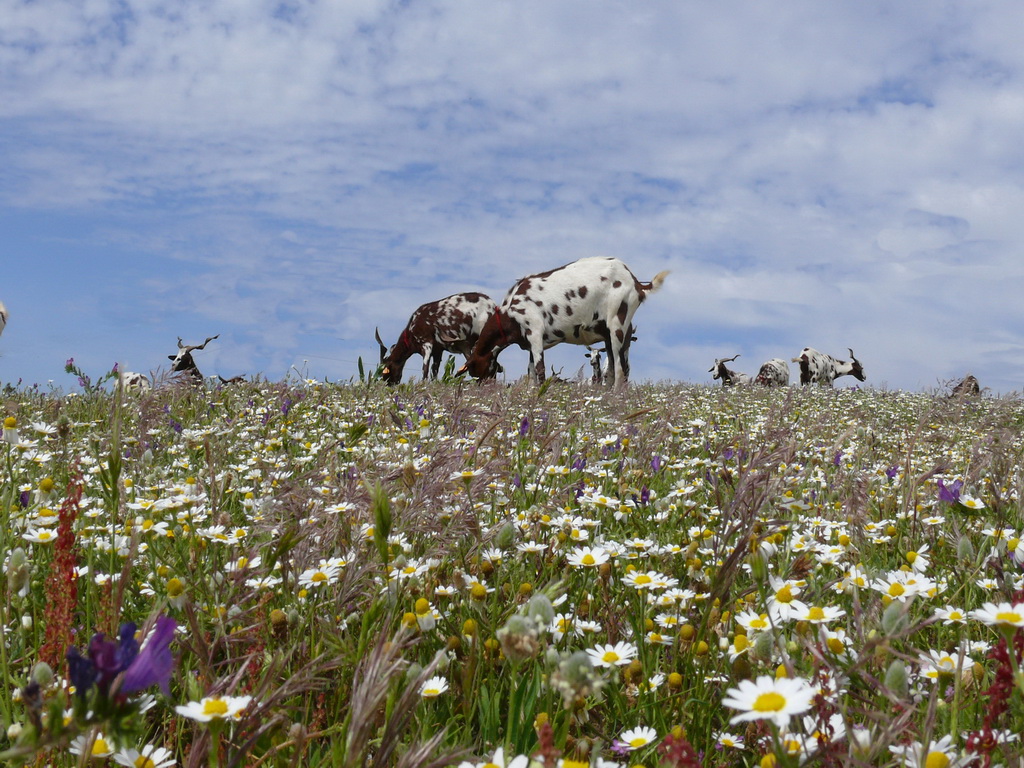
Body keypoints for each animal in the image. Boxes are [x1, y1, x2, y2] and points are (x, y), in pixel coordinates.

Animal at [460, 257, 667, 387]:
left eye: (476, 371)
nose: (484, 388)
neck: (510, 309)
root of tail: (636, 282)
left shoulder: (535, 333)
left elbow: (540, 370)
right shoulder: (530, 343)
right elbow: (531, 374)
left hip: (618, 327)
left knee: (620, 370)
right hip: (610, 335)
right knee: (613, 371)